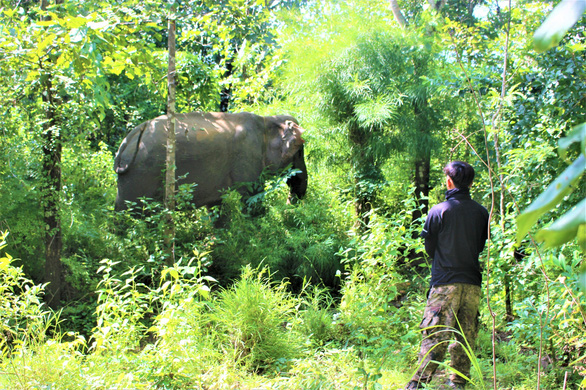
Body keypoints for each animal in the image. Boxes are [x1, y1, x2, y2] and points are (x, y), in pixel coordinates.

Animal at [112, 111, 308, 212]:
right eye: (299, 152)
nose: (290, 205)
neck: (266, 120)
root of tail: (132, 137)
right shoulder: (247, 157)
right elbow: (251, 197)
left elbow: (216, 206)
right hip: (141, 175)